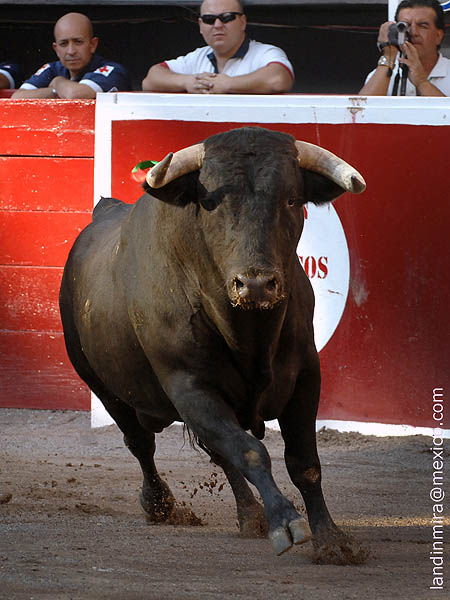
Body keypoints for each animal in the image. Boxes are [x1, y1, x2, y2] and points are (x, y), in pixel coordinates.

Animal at [59, 126, 368, 564]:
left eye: (292, 200)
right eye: (211, 204)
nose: (255, 284)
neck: (249, 332)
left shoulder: (306, 375)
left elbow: (304, 462)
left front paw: (332, 540)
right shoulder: (190, 387)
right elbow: (250, 450)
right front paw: (285, 521)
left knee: (219, 453)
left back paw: (250, 516)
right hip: (103, 386)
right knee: (141, 443)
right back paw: (159, 503)